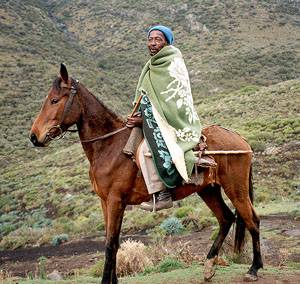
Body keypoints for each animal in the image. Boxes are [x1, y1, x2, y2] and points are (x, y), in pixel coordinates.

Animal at [29, 64, 262, 284]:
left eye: (54, 100)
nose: (34, 136)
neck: (109, 146)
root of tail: (241, 140)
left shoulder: (115, 201)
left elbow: (110, 244)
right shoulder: (106, 202)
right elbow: (113, 242)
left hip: (236, 189)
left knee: (252, 220)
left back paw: (253, 269)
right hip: (208, 190)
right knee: (226, 218)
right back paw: (209, 267)